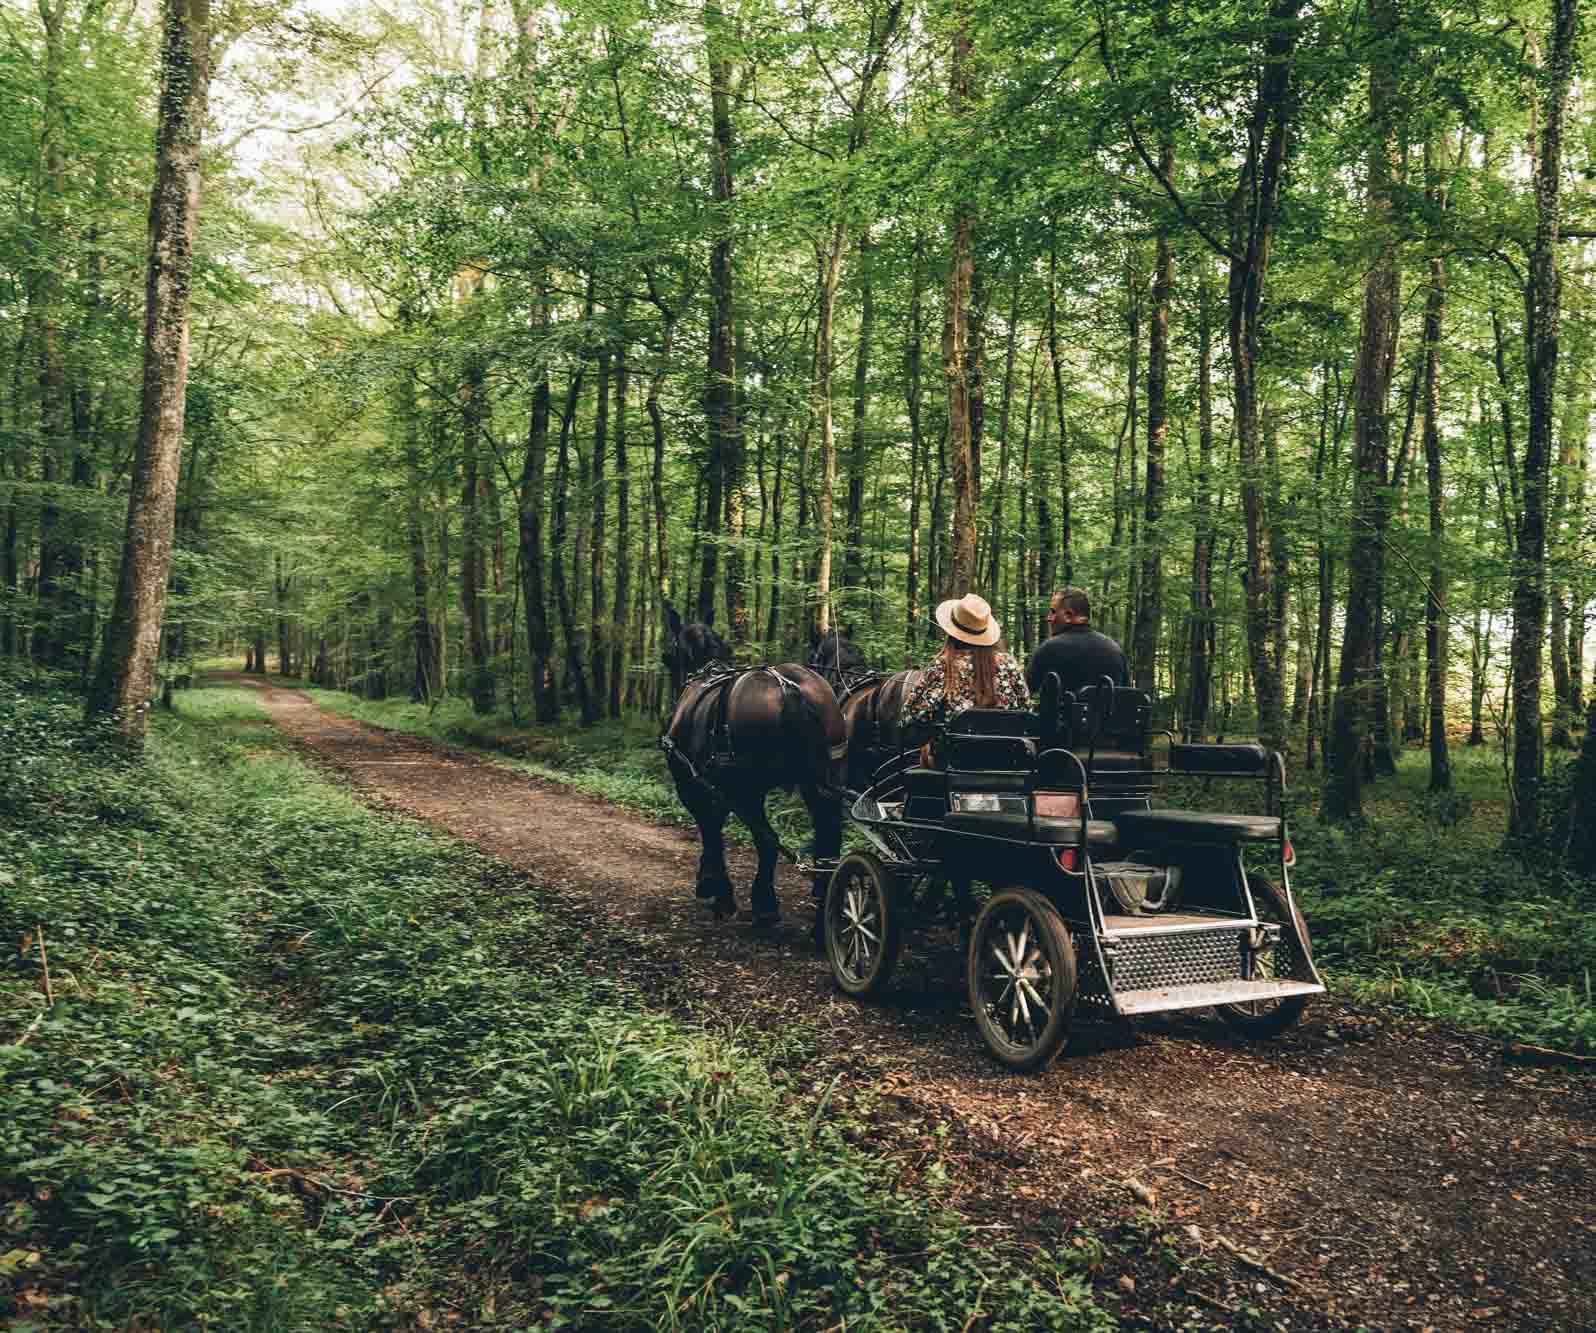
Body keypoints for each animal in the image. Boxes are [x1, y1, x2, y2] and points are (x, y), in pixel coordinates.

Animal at [657, 603, 849, 925]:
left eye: (668, 656)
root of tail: (788, 687)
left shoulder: (693, 785)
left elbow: (710, 831)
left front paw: (716, 890)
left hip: (749, 788)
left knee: (767, 839)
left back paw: (764, 904)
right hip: (822, 779)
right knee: (829, 841)